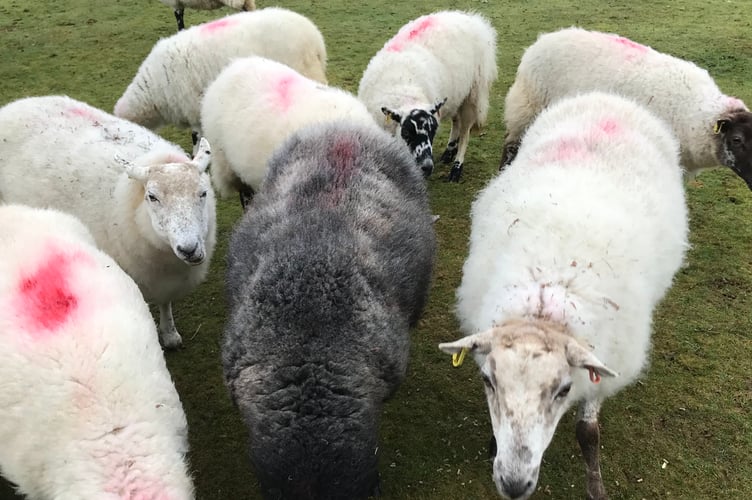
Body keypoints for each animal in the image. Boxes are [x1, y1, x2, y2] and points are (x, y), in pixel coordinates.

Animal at [0, 95, 216, 350]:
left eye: (203, 193)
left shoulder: (167, 280)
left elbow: (166, 302)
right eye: (152, 197)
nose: (189, 249)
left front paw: (170, 333)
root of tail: (20, 102)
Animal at [357, 10, 497, 182]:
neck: (405, 92)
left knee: (465, 132)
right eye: (407, 132)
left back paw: (456, 168)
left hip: (473, 94)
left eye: (433, 132)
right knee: (456, 121)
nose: (427, 167)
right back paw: (449, 152)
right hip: (456, 95)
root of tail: (473, 18)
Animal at [439, 92, 689, 500]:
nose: (514, 484)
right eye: (488, 381)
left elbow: (588, 433)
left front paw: (596, 486)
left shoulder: (605, 360)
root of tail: (608, 97)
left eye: (564, 389)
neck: (545, 304)